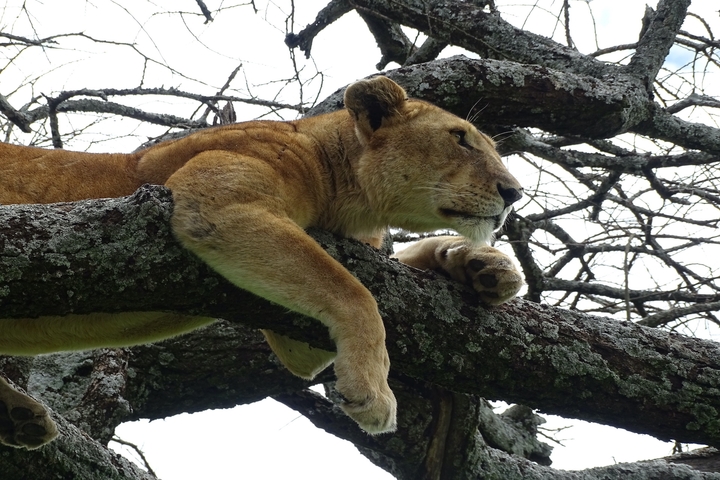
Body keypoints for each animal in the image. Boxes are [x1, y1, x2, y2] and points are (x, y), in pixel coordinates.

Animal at [0, 76, 524, 449]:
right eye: (460, 138)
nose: (514, 192)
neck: (349, 199)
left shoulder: (298, 339)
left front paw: (483, 266)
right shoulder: (216, 201)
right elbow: (353, 292)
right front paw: (373, 392)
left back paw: (19, 418)